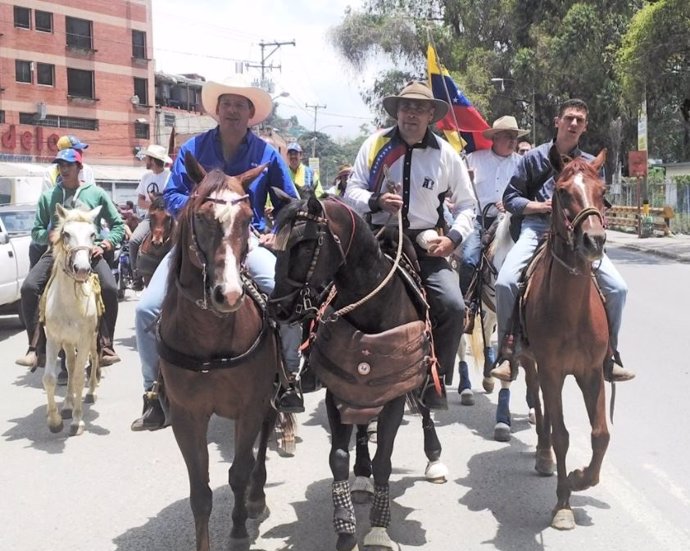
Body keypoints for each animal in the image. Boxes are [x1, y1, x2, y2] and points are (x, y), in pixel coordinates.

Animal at [41, 205, 101, 438]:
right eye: (66, 233)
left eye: (92, 234)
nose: (82, 269)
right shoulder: (53, 339)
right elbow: (50, 378)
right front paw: (55, 420)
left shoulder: (84, 339)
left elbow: (77, 378)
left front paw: (77, 421)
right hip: (67, 343)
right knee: (71, 363)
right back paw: (67, 405)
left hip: (93, 338)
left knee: (94, 359)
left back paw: (91, 393)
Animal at [159, 154, 280, 551]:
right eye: (201, 217)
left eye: (246, 219)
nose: (228, 294)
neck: (209, 337)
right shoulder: (186, 415)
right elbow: (200, 493)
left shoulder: (249, 407)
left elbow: (239, 473)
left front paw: (239, 530)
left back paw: (257, 497)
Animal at [266, 195, 444, 551]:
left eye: (305, 244)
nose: (277, 307)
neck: (373, 306)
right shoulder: (339, 389)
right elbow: (338, 456)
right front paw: (345, 527)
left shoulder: (393, 397)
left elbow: (385, 461)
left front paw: (378, 529)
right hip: (359, 389)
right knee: (361, 428)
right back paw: (361, 475)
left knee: (424, 408)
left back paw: (434, 457)